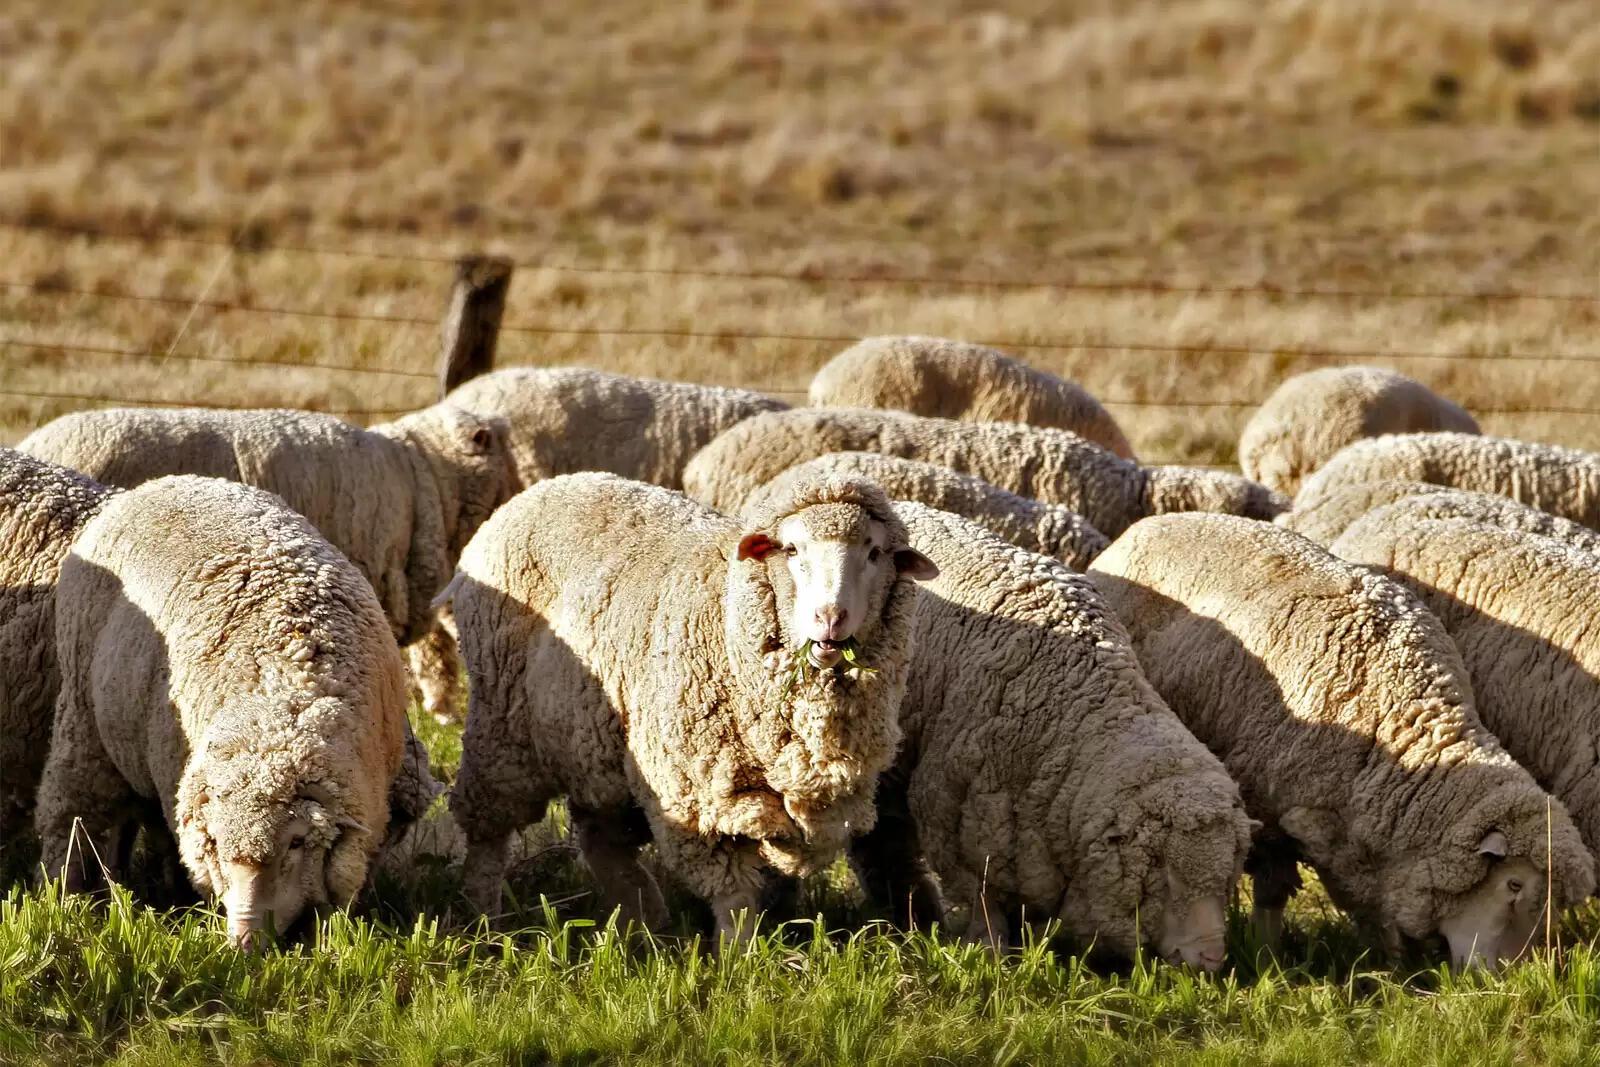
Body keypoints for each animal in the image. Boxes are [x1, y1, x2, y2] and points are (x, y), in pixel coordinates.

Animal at [33, 475, 408, 947]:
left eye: (297, 843)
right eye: (218, 846)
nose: (243, 942)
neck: (284, 699)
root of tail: (158, 483)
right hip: (82, 714)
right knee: (70, 810)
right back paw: (63, 895)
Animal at [445, 471, 937, 940]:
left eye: (875, 554)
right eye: (792, 550)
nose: (830, 619)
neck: (727, 616)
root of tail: (538, 490)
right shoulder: (697, 793)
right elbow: (733, 894)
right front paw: (739, 956)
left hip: (595, 743)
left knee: (600, 835)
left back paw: (644, 919)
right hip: (500, 721)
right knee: (490, 829)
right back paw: (483, 916)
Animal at [846, 502, 1253, 968]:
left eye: (1227, 877)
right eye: (1165, 877)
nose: (1211, 960)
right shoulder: (956, 819)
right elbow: (983, 900)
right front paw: (989, 953)